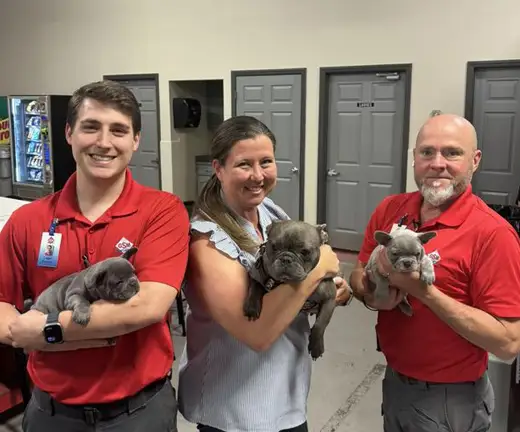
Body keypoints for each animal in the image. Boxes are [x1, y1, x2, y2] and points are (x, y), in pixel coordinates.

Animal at [244, 221, 338, 360]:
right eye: (274, 247)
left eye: (305, 252)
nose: (286, 259)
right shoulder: (260, 275)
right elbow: (255, 287)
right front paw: (252, 306)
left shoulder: (329, 298)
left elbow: (320, 324)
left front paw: (316, 347)